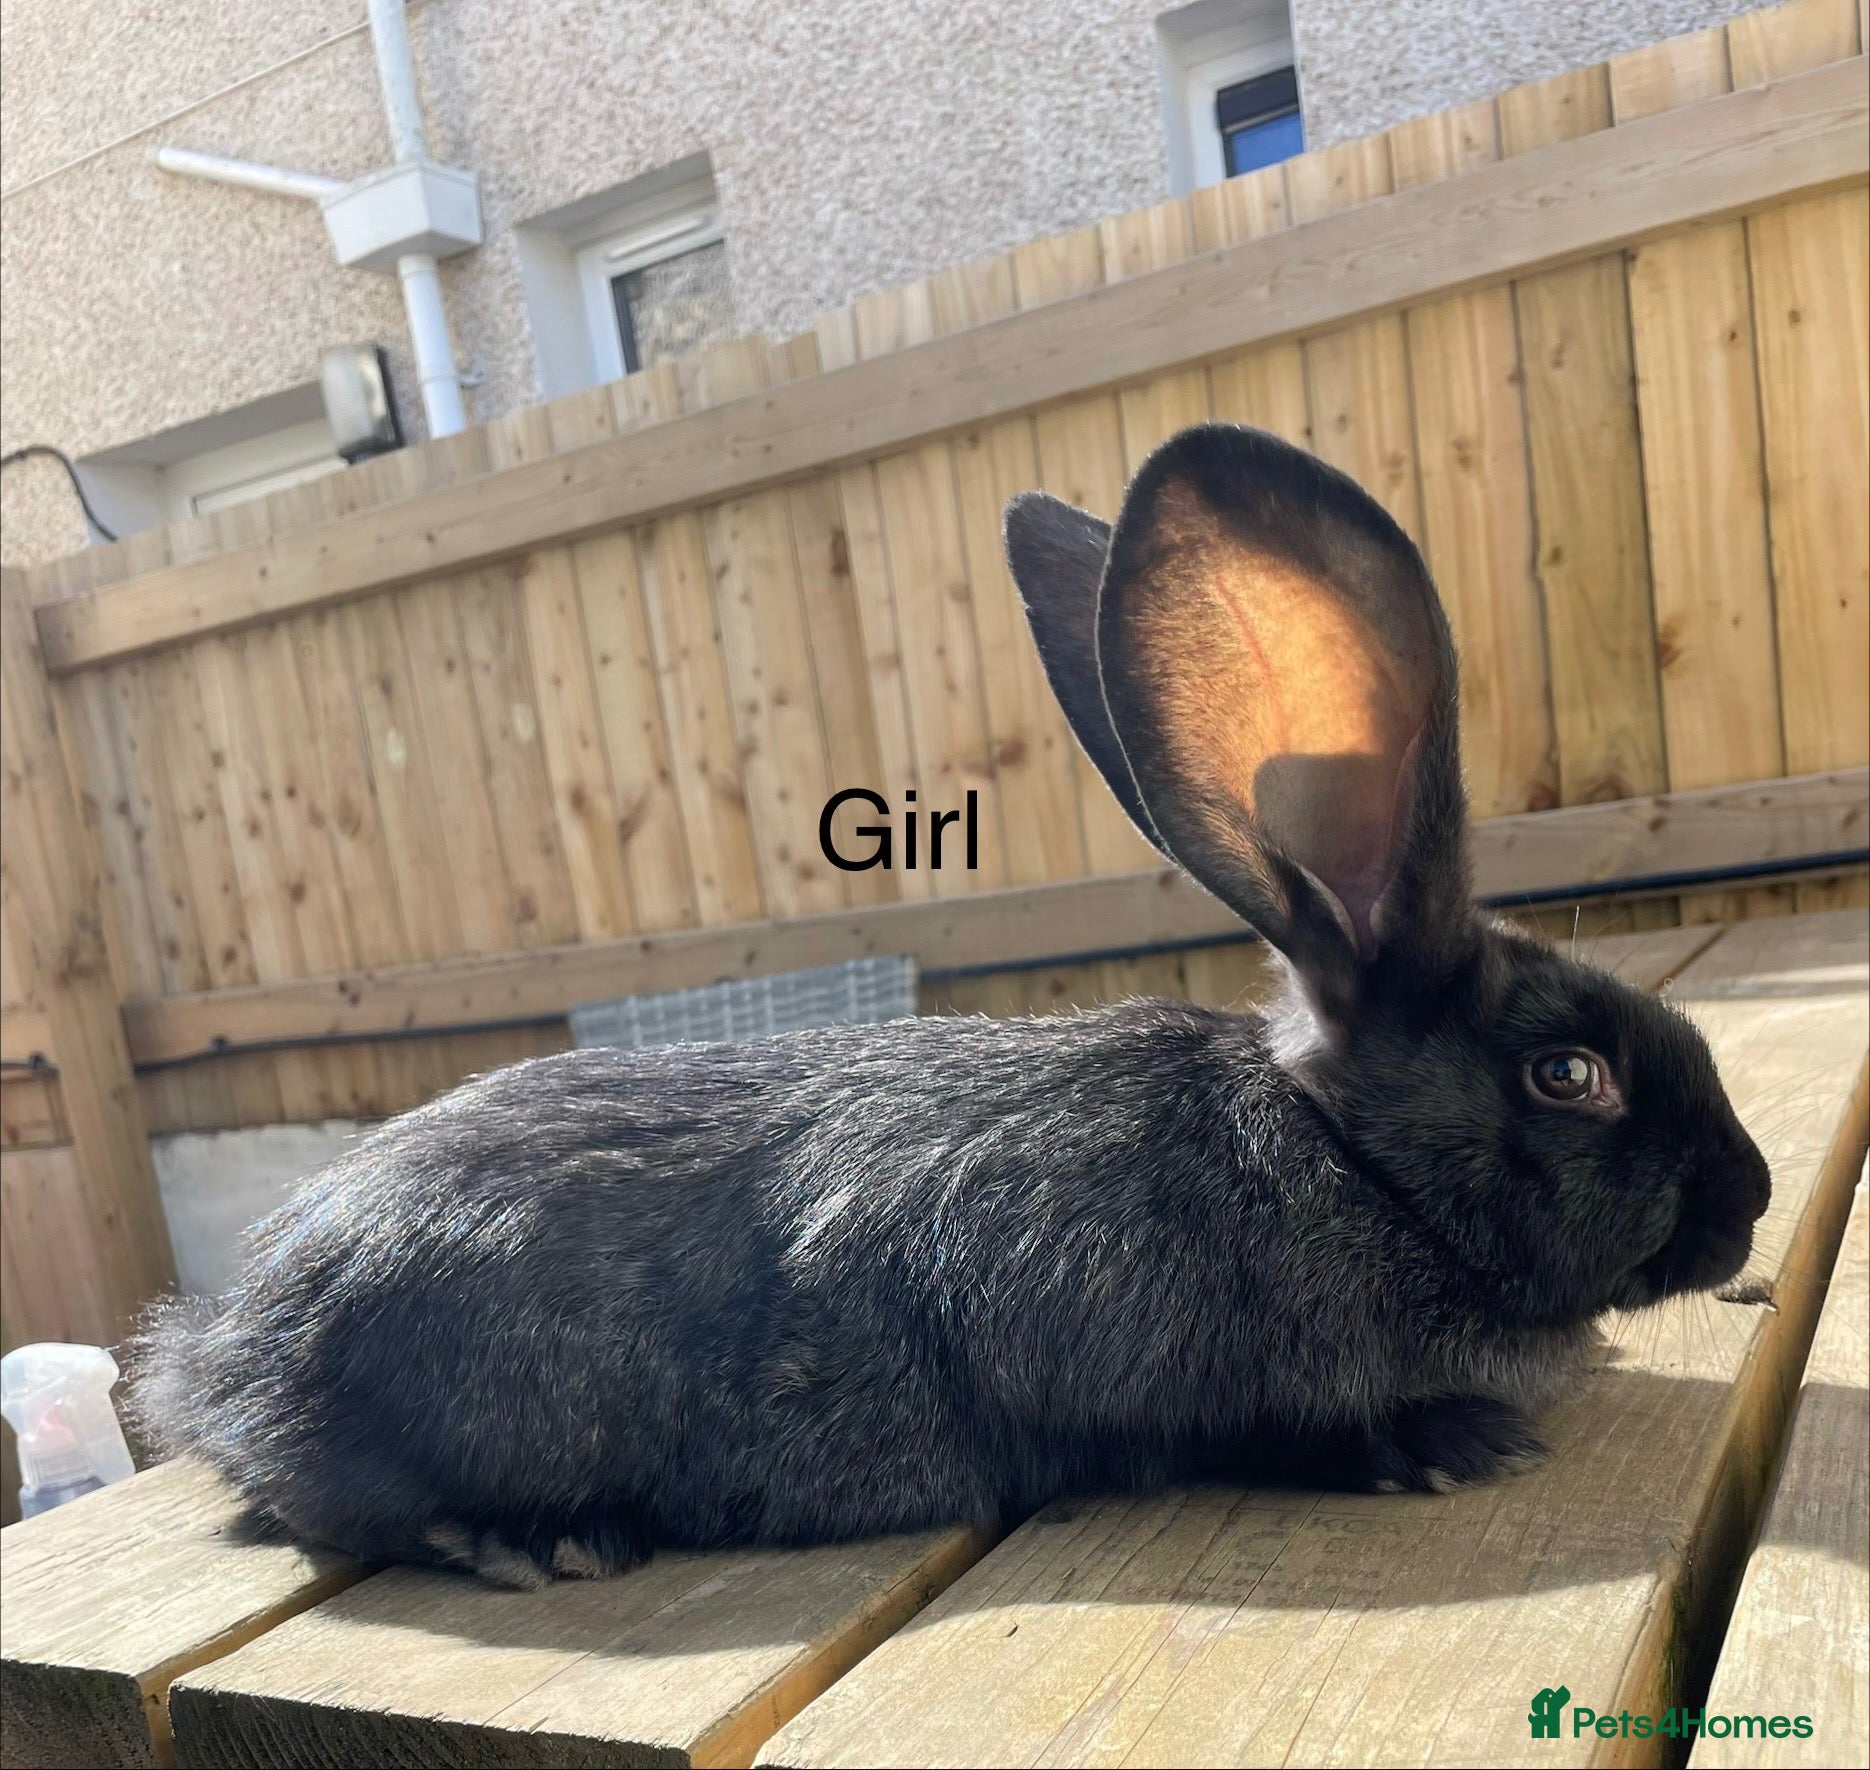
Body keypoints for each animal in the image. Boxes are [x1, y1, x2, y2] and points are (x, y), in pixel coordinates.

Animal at [128, 423, 1771, 1589]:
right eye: (1568, 1076)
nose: (1749, 1200)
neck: (1345, 1161)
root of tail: (224, 1348)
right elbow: (1274, 1430)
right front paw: (1456, 1441)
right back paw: (546, 1540)